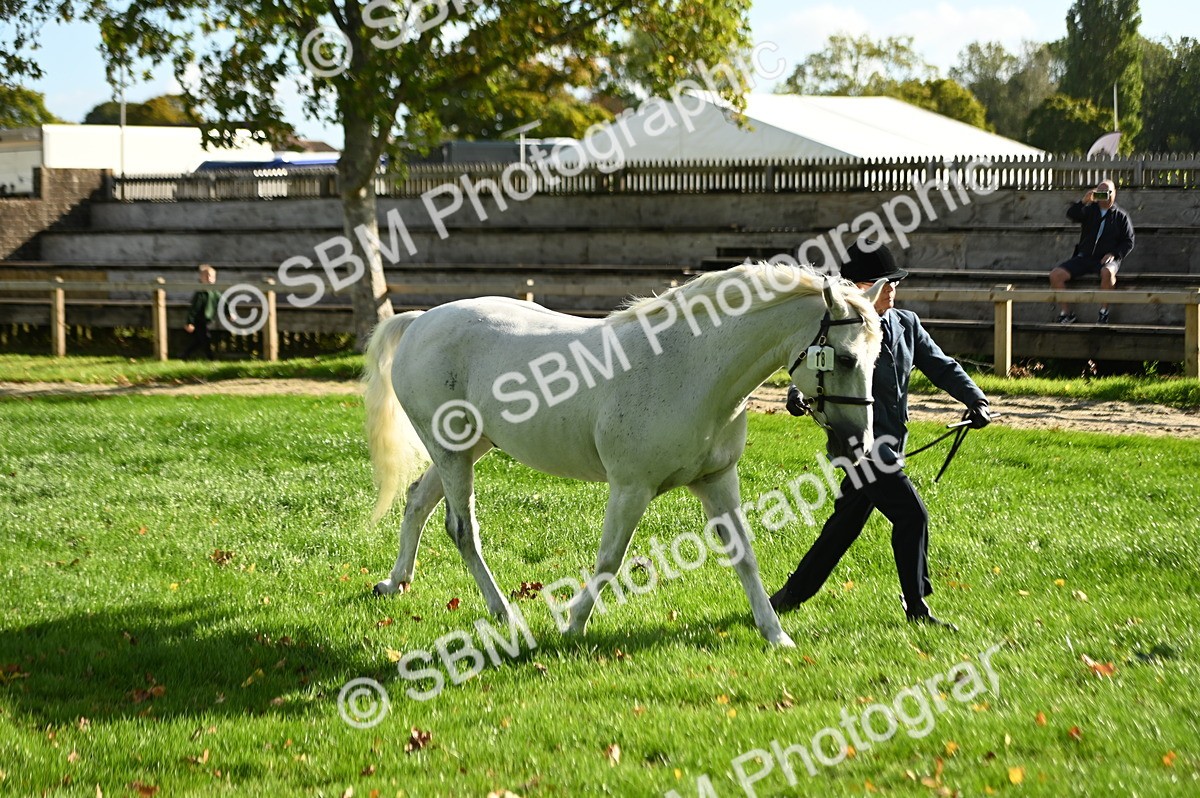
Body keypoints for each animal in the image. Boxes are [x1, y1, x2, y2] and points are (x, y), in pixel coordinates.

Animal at [362, 262, 884, 646]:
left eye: (877, 358)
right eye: (845, 358)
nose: (857, 442)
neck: (690, 367)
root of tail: (421, 320)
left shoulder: (717, 480)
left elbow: (744, 554)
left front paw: (776, 635)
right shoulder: (632, 488)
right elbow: (611, 559)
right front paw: (572, 624)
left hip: (469, 448)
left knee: (417, 500)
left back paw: (395, 582)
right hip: (452, 453)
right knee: (461, 528)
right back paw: (503, 612)